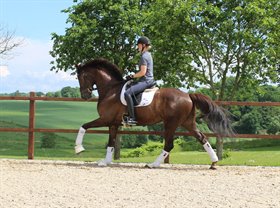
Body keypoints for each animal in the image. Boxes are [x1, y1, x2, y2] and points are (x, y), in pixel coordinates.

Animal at [74, 57, 232, 170]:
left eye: (82, 77)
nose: (85, 95)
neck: (110, 90)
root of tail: (188, 95)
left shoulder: (105, 119)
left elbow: (83, 126)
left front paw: (79, 149)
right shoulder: (113, 123)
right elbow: (111, 143)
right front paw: (105, 162)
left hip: (171, 123)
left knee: (169, 145)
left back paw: (153, 164)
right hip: (187, 122)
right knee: (202, 138)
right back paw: (213, 163)